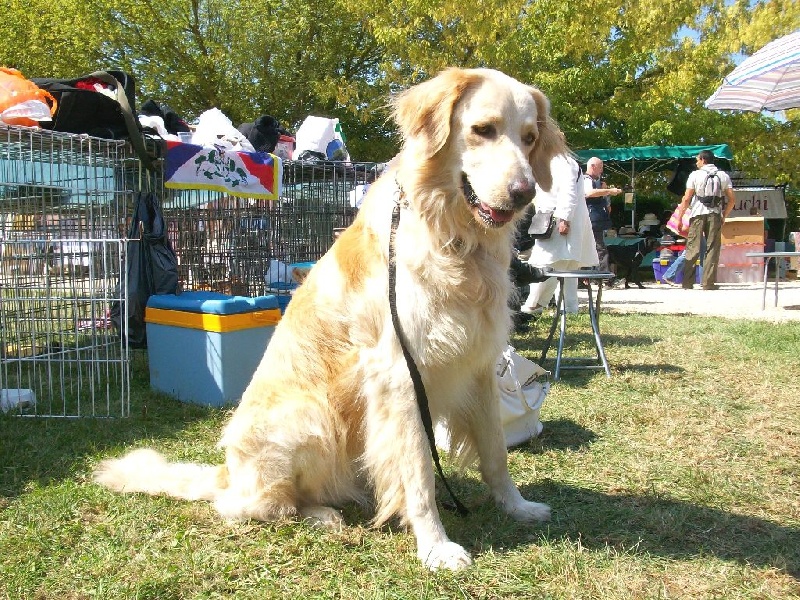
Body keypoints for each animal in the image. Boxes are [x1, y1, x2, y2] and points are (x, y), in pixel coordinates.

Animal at [94, 68, 566, 571]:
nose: (524, 195)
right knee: (251, 506)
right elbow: (419, 471)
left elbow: (495, 452)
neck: (452, 237)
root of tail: (227, 473)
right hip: (312, 417)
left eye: (529, 137)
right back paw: (319, 514)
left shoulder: (477, 364)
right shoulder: (399, 375)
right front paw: (436, 546)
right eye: (483, 129)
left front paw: (517, 506)